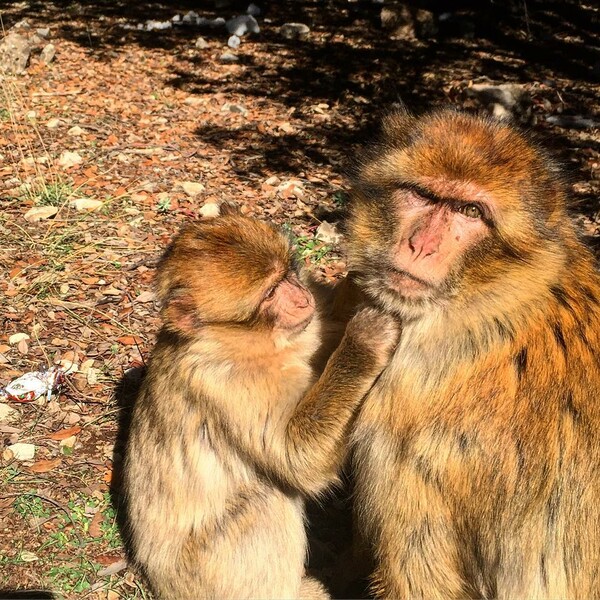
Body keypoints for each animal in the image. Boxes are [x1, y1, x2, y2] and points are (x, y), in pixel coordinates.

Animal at [123, 213, 396, 596]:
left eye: (288, 272)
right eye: (269, 293)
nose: (300, 298)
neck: (254, 342)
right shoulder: (231, 383)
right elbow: (298, 459)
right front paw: (364, 343)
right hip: (210, 574)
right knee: (267, 496)